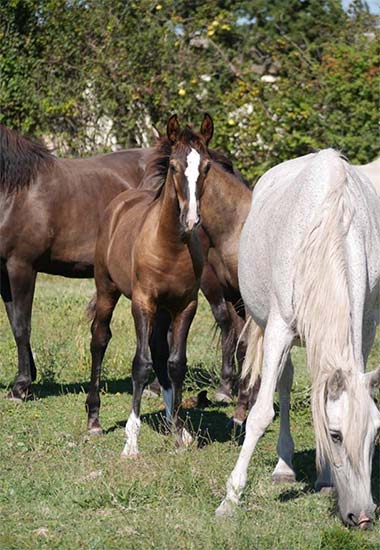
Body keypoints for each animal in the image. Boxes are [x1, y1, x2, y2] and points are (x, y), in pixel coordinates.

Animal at [84, 115, 212, 452]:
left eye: (206, 167)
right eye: (174, 166)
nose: (190, 219)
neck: (170, 246)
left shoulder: (185, 306)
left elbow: (176, 363)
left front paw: (180, 431)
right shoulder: (143, 302)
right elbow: (140, 364)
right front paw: (131, 442)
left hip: (164, 310)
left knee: (159, 350)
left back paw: (172, 424)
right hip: (107, 289)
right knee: (99, 339)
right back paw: (94, 420)